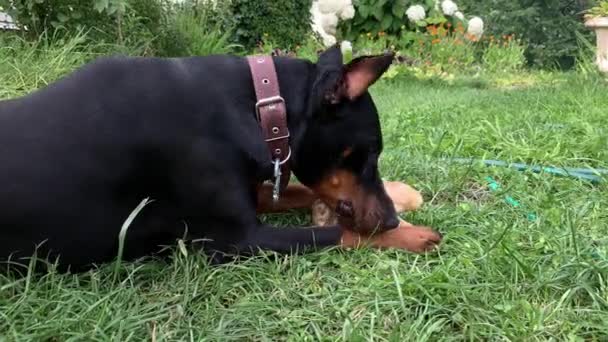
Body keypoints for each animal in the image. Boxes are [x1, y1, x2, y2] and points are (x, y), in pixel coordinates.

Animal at [0, 45, 440, 272]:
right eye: (368, 153)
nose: (390, 219)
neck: (262, 105)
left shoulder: (257, 187)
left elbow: (300, 191)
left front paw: (402, 199)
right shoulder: (237, 240)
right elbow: (337, 234)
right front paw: (415, 235)